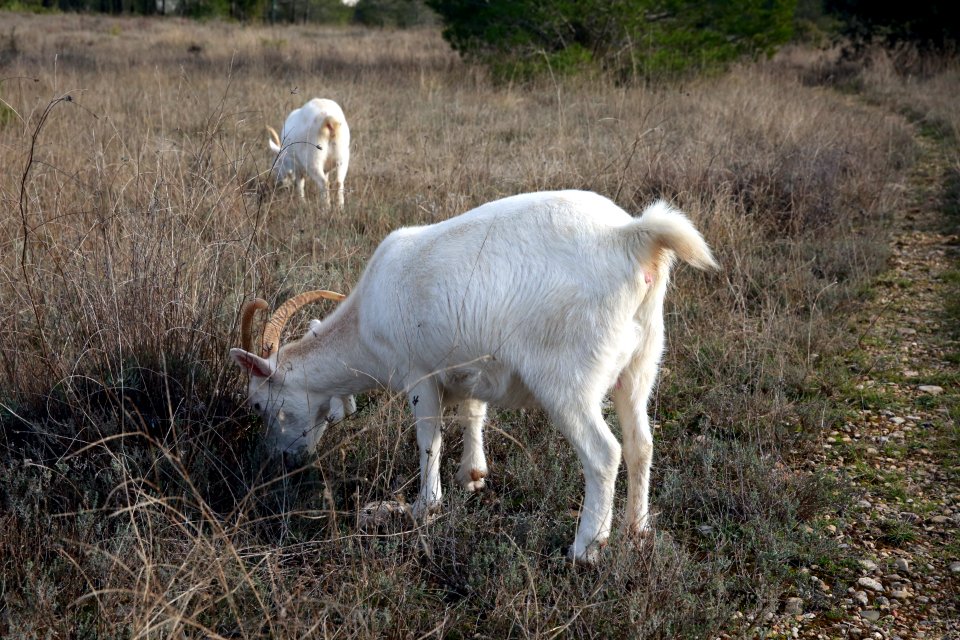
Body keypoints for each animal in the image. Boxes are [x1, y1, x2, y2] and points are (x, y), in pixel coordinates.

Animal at [229, 190, 716, 560]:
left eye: (258, 404)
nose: (279, 461)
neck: (363, 326)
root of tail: (632, 239)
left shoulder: (418, 373)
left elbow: (429, 438)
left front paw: (425, 505)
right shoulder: (469, 368)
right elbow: (473, 413)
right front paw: (473, 475)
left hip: (569, 377)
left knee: (603, 453)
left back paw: (586, 548)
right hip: (641, 360)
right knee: (641, 443)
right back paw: (638, 529)